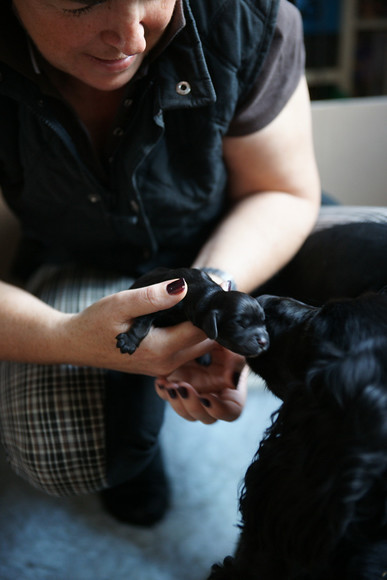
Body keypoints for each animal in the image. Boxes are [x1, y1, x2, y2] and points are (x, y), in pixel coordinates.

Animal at [116, 268, 270, 358]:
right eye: (240, 324)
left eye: (264, 322)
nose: (263, 342)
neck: (207, 295)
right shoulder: (157, 304)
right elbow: (142, 324)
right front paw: (129, 342)